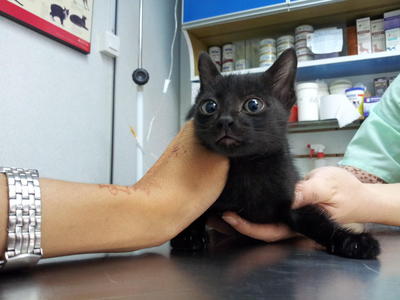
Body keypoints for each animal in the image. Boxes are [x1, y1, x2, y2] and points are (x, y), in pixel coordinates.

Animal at [170, 48, 380, 258]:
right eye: (209, 106)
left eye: (253, 105)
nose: (224, 120)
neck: (247, 167)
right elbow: (195, 212)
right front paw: (188, 236)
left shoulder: (293, 199)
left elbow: (318, 222)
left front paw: (353, 241)